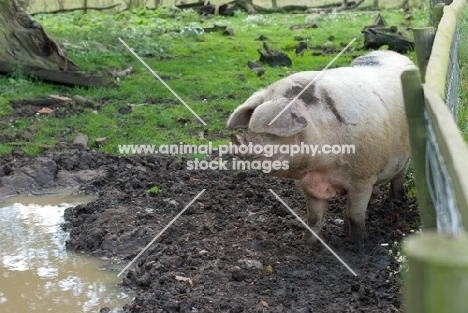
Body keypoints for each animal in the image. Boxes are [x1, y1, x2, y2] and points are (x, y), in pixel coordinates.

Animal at [227, 50, 414, 241]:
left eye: (271, 130)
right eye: (252, 126)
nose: (237, 141)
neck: (322, 168)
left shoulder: (363, 177)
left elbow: (354, 214)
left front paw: (359, 241)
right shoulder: (309, 186)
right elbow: (314, 218)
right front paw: (308, 243)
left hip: (406, 155)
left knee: (399, 176)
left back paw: (396, 201)